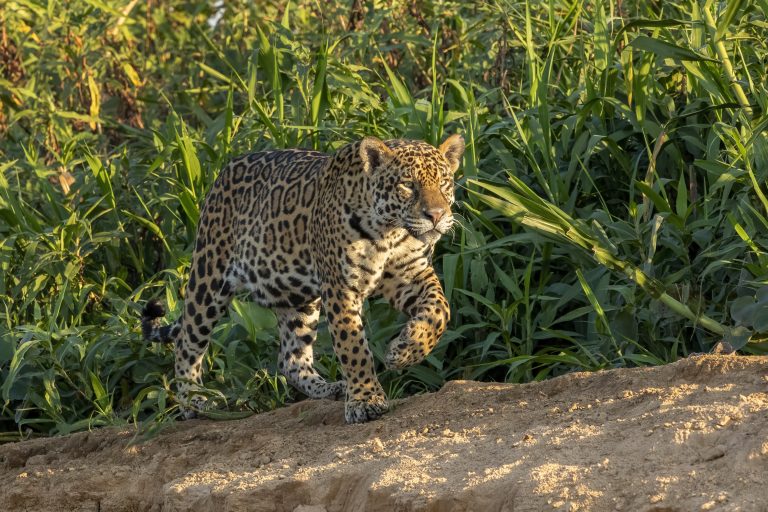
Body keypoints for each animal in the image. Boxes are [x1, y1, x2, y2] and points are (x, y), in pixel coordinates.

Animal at [142, 134, 464, 424]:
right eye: (407, 185)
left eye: (444, 184)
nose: (436, 215)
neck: (392, 232)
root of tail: (223, 172)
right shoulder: (341, 287)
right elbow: (353, 347)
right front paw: (366, 400)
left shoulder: (411, 274)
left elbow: (440, 311)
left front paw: (406, 350)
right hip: (209, 276)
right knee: (187, 340)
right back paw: (194, 401)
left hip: (296, 297)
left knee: (291, 359)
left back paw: (329, 388)